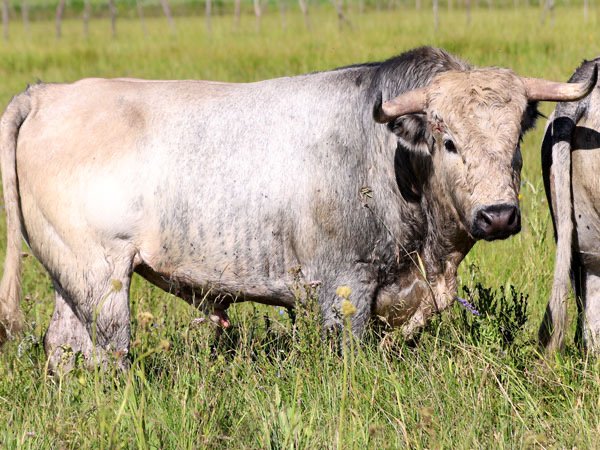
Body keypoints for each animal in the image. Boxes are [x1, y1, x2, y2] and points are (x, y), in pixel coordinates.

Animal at [0, 47, 595, 370]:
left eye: (516, 139)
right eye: (449, 141)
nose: (498, 216)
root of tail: (47, 94)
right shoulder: (344, 290)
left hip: (72, 280)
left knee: (64, 349)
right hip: (101, 279)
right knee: (108, 350)